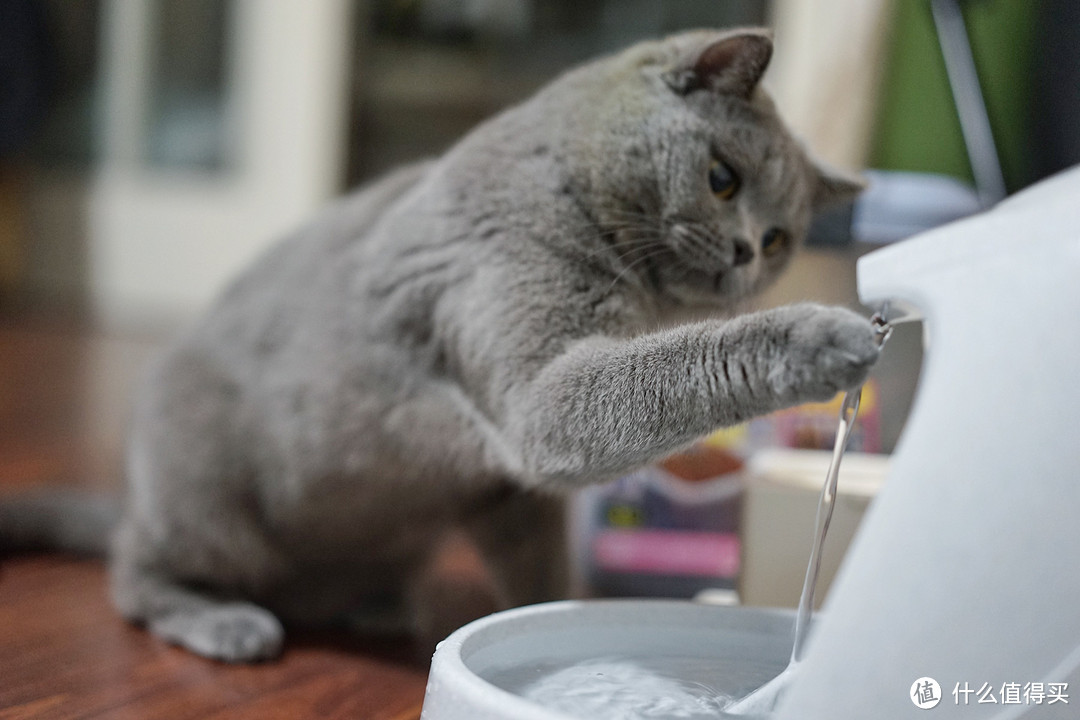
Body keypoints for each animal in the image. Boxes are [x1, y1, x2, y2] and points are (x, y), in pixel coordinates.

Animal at [0, 29, 876, 664]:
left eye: (779, 238)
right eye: (722, 178)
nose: (747, 255)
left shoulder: (502, 488)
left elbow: (537, 563)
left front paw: (546, 618)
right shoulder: (539, 397)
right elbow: (680, 361)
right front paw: (832, 334)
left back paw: (378, 606)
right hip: (202, 499)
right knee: (134, 575)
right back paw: (225, 622)